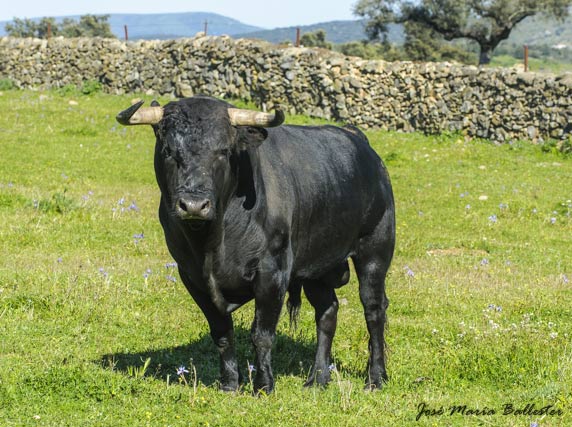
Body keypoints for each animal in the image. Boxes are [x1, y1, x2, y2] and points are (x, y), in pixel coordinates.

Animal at [116, 95, 394, 392]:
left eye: (224, 151)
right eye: (168, 151)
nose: (193, 205)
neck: (212, 242)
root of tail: (358, 139)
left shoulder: (272, 272)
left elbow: (262, 334)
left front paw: (263, 386)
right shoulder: (192, 277)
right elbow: (222, 333)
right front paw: (229, 384)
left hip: (375, 252)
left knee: (374, 310)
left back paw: (375, 378)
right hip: (317, 266)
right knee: (327, 312)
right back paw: (318, 378)